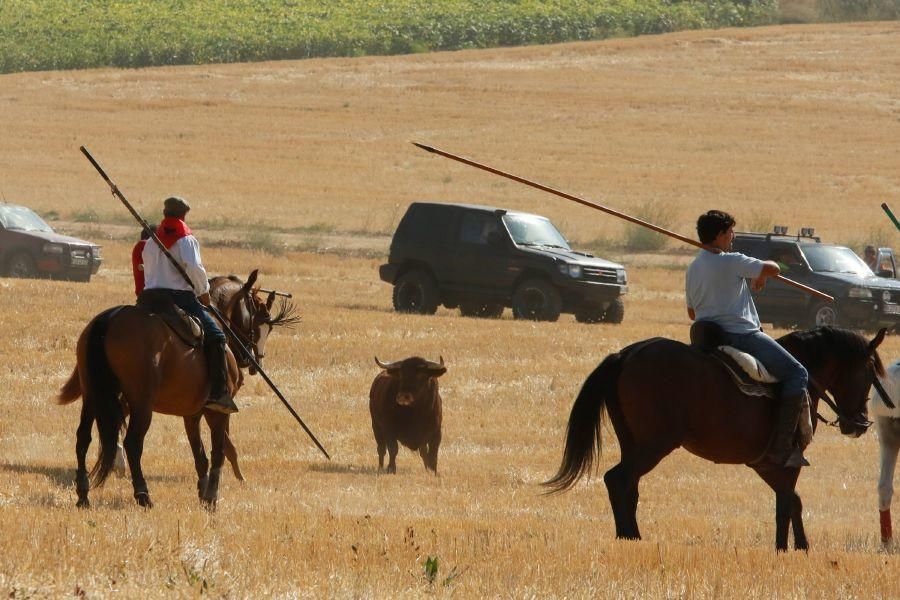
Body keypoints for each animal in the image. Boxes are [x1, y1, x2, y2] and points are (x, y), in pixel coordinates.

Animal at [544, 326, 888, 552]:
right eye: (871, 372)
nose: (859, 423)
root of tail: (625, 355)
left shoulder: (764, 464)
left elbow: (793, 501)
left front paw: (801, 546)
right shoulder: (788, 460)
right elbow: (785, 503)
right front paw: (784, 549)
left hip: (633, 443)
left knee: (629, 485)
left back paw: (630, 536)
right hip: (654, 445)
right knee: (617, 479)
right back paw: (630, 537)